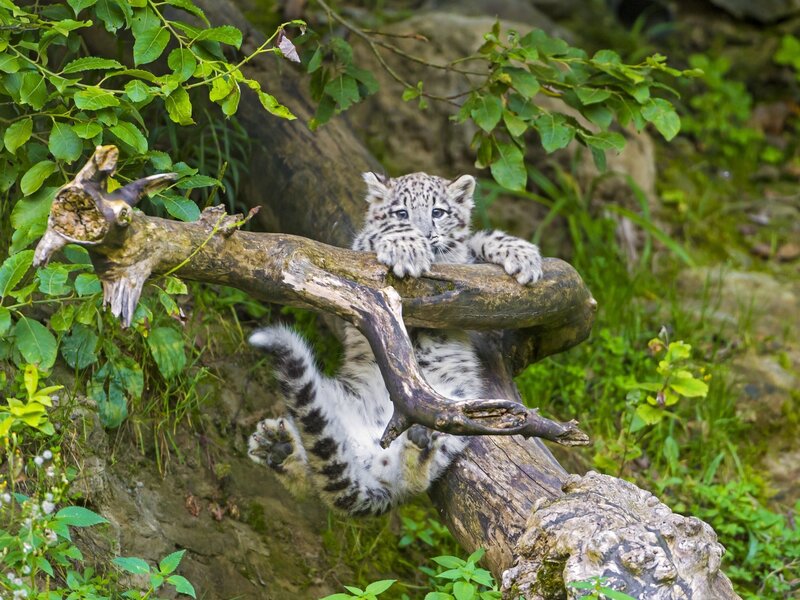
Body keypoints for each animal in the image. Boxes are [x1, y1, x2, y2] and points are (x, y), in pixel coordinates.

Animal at [247, 172, 543, 516]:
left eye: (438, 212)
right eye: (401, 213)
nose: (425, 235)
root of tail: (370, 444)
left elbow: (475, 243)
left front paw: (523, 255)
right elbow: (373, 235)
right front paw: (407, 248)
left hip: (460, 416)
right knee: (327, 478)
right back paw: (278, 445)